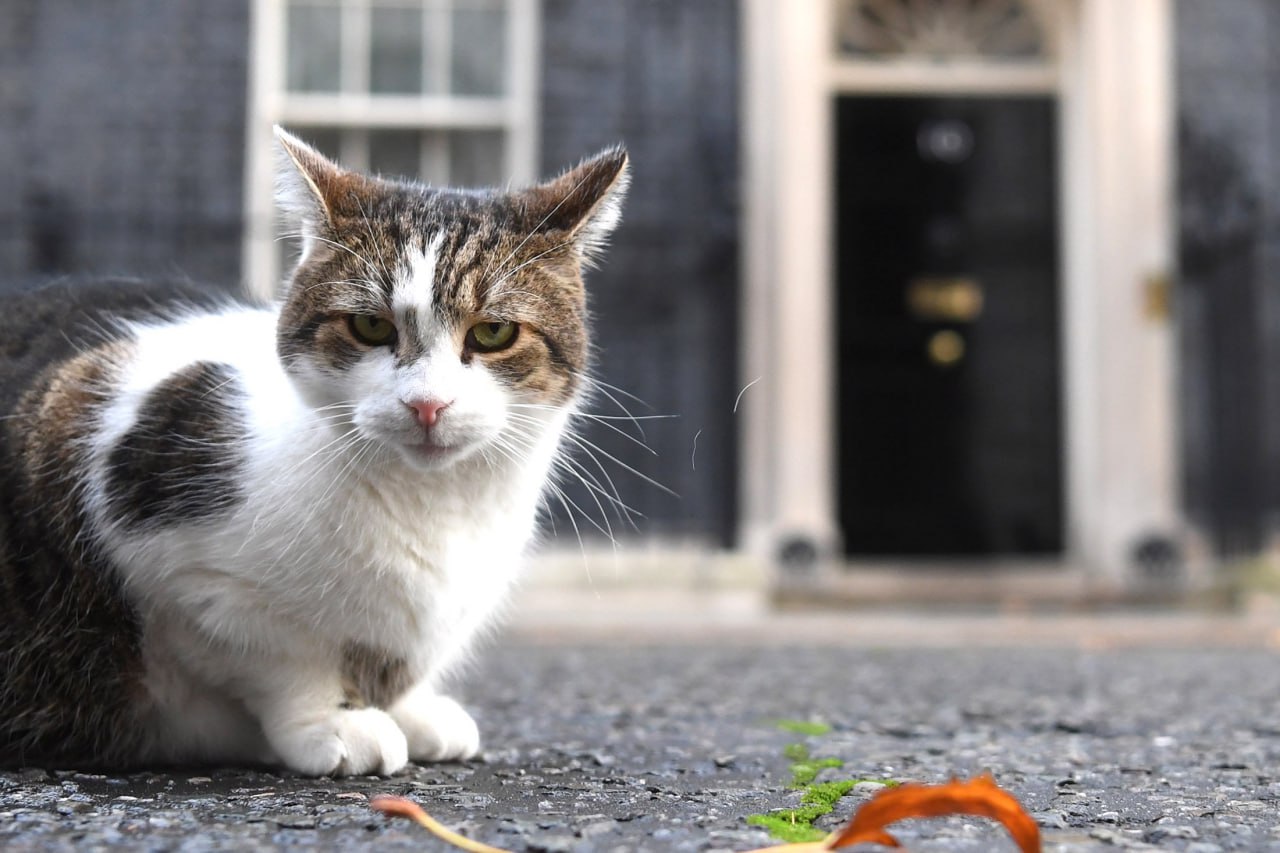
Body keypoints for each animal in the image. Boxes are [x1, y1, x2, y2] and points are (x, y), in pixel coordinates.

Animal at [0, 129, 629, 773]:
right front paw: (335, 719)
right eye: (370, 327)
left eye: (494, 333)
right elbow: (276, 655)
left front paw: (412, 708)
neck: (432, 504)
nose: (427, 405)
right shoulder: (161, 544)